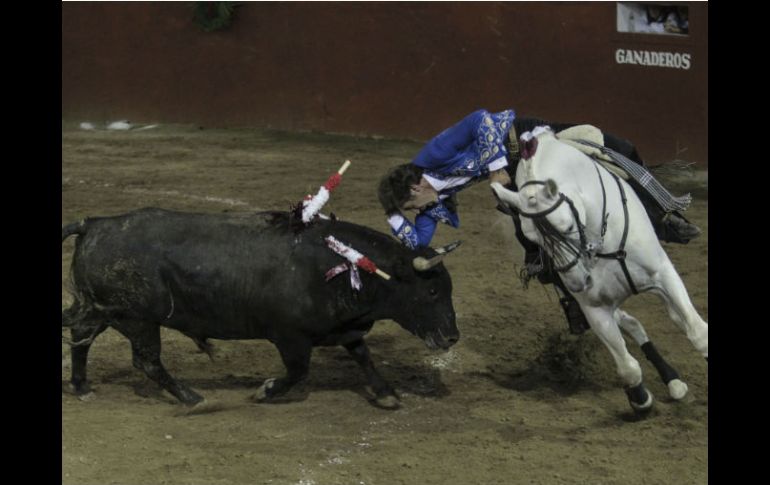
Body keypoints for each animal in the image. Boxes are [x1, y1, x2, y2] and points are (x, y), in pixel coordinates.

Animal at [61, 208, 456, 408]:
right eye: (432, 291)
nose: (452, 337)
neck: (341, 264)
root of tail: (94, 224)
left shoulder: (344, 328)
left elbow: (363, 356)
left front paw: (387, 394)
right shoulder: (290, 337)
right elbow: (298, 372)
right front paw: (265, 391)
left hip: (103, 311)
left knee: (81, 336)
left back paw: (81, 386)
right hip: (139, 320)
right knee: (146, 360)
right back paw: (192, 397)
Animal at [488, 127, 704, 412]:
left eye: (567, 227)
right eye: (532, 239)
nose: (578, 281)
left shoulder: (663, 275)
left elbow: (698, 332)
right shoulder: (594, 308)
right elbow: (627, 367)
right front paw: (639, 398)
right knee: (633, 324)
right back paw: (671, 380)